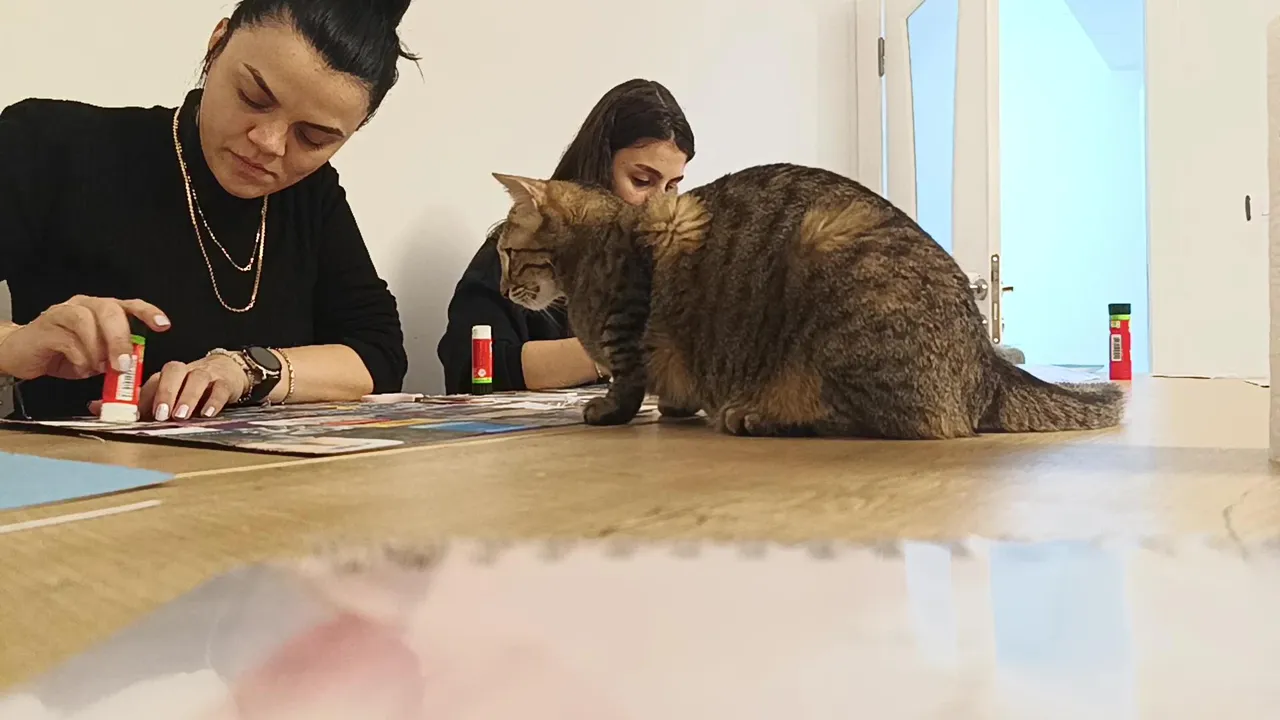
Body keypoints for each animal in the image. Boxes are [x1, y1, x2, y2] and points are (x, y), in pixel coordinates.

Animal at [491, 163, 1125, 439]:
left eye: (505, 252)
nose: (498, 289)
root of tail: (985, 362)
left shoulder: (630, 331)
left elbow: (626, 384)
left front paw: (608, 409)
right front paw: (674, 406)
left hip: (827, 260)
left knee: (893, 422)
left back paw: (755, 414)